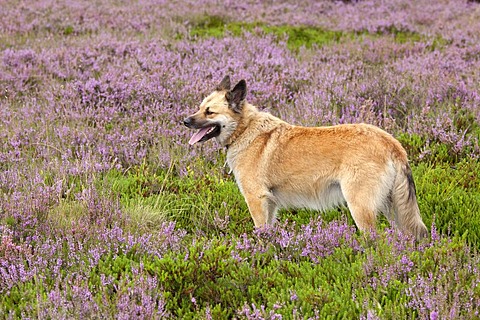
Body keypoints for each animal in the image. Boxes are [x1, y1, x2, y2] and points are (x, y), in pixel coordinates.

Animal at [184, 76, 428, 239]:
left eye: (210, 112)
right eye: (199, 108)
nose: (184, 121)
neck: (244, 129)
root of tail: (391, 143)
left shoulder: (257, 200)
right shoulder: (270, 204)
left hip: (361, 208)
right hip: (392, 208)